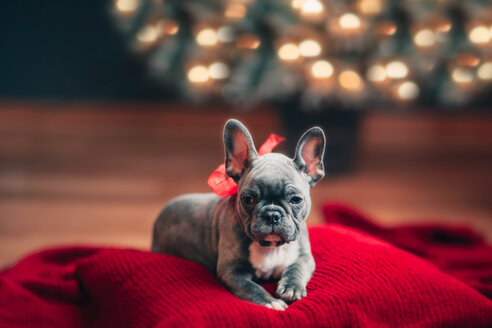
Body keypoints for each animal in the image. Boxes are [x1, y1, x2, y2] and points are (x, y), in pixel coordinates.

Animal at [152, 118, 324, 310]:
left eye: (296, 200)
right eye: (248, 199)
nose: (272, 214)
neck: (270, 247)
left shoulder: (305, 257)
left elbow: (296, 268)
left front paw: (292, 287)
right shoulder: (232, 272)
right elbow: (251, 287)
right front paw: (270, 302)